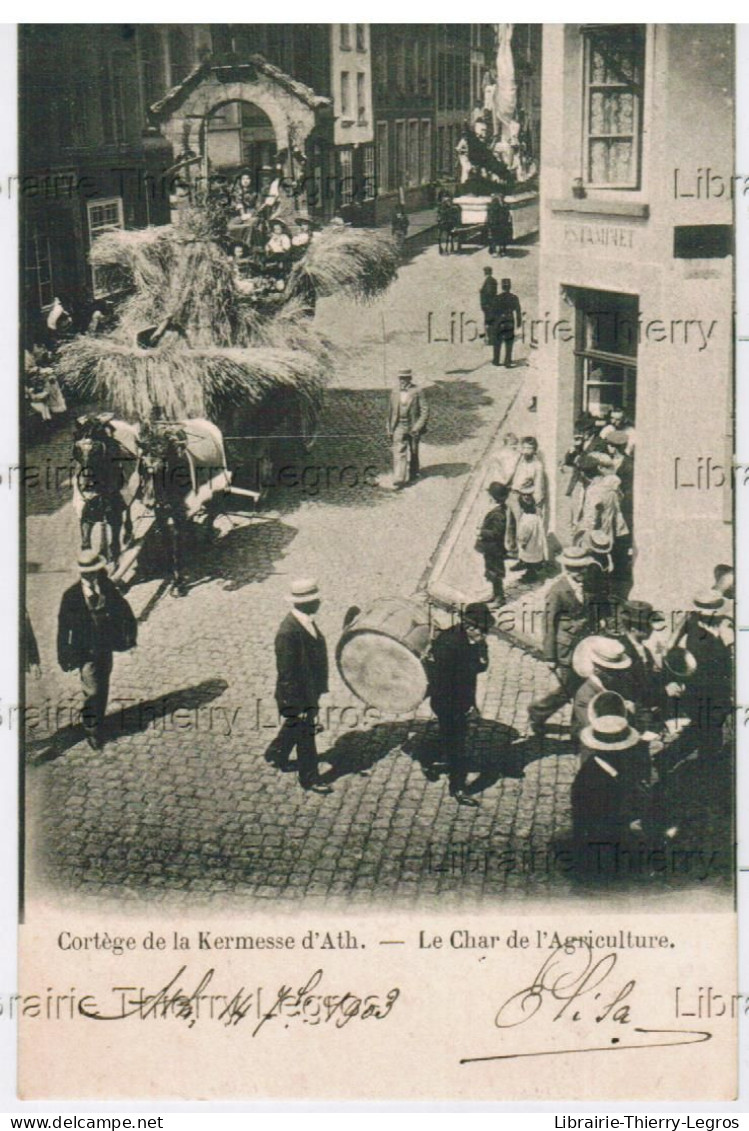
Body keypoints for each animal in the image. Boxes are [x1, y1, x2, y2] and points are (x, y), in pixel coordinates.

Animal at [72, 413, 139, 563]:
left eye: (96, 449)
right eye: (77, 449)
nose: (87, 483)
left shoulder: (114, 516)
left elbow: (114, 543)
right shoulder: (85, 516)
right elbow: (85, 544)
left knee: (128, 508)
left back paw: (128, 533)